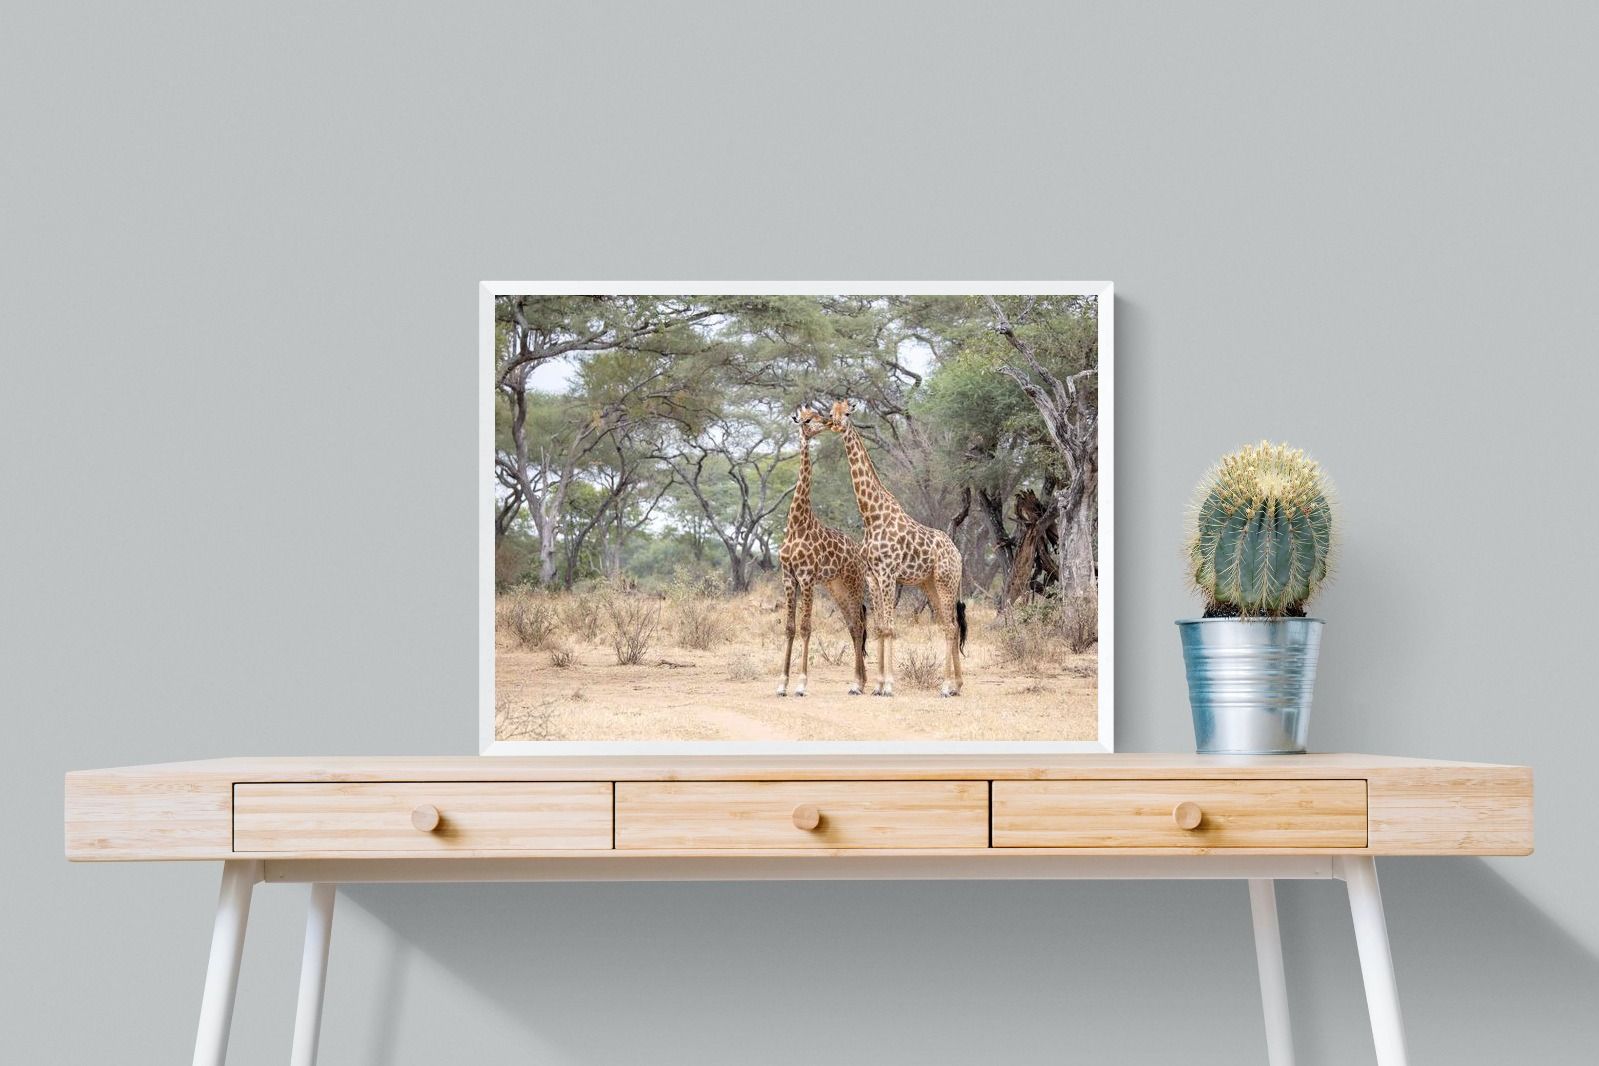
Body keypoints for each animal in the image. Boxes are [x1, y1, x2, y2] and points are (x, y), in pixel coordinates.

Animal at [774, 406, 869, 697]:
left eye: (817, 414)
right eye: (806, 419)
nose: (827, 422)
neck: (797, 523)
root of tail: (858, 553)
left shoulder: (806, 577)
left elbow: (806, 627)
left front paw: (801, 684)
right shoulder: (789, 577)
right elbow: (790, 628)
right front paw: (781, 684)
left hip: (854, 584)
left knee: (859, 625)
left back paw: (857, 683)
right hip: (835, 586)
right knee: (852, 625)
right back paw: (860, 681)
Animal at [818, 400, 967, 697]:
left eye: (848, 412)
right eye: (831, 412)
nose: (836, 424)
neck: (871, 515)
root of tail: (958, 554)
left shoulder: (888, 573)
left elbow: (889, 627)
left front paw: (887, 686)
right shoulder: (872, 576)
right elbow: (879, 627)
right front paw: (876, 685)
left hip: (945, 581)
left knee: (950, 626)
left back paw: (946, 687)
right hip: (930, 584)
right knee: (951, 626)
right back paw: (956, 685)